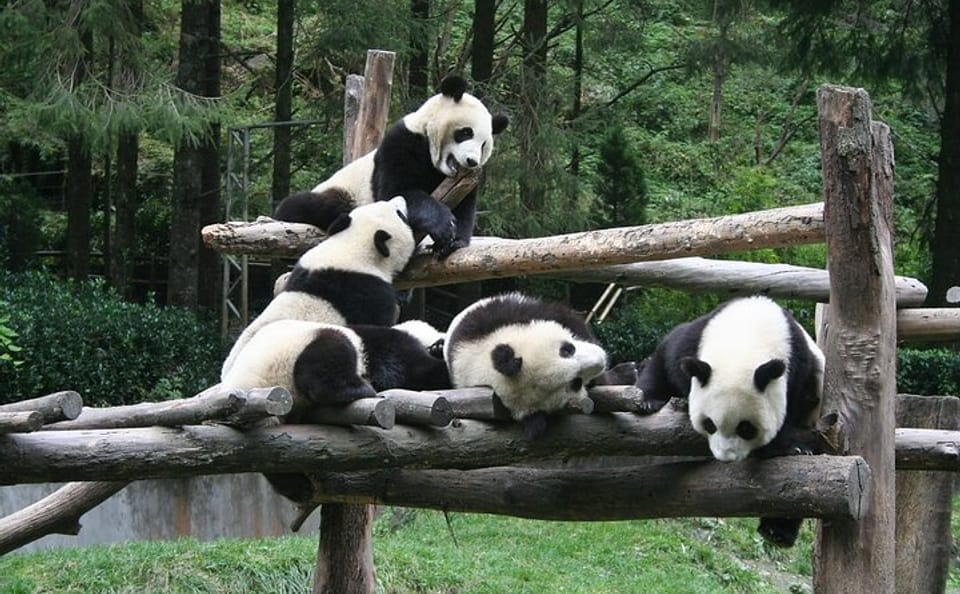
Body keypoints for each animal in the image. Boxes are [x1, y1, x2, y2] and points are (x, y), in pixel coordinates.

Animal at [221, 318, 450, 504]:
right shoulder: (391, 348)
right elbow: (419, 372)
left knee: (274, 463)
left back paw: (299, 486)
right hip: (292, 353)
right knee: (325, 363)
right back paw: (361, 389)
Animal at [274, 75, 509, 258]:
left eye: (484, 144)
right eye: (466, 132)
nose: (472, 161)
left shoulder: (466, 181)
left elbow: (464, 207)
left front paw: (453, 242)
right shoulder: (401, 143)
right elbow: (396, 192)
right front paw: (442, 225)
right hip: (342, 190)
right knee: (303, 205)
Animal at [633, 295, 825, 547]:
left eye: (746, 428)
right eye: (709, 424)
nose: (726, 457)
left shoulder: (801, 370)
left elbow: (793, 411)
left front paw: (790, 447)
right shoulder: (694, 338)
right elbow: (665, 359)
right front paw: (647, 401)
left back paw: (777, 532)